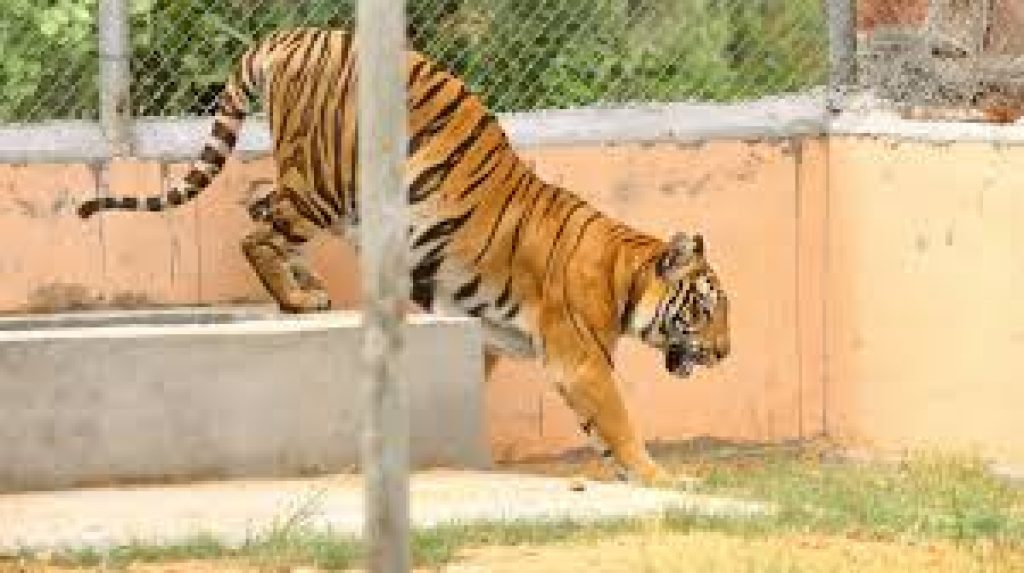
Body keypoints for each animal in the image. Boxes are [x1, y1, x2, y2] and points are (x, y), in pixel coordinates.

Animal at [77, 27, 730, 486]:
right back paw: (297, 299)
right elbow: (619, 424)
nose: (725, 353)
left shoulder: (487, 334)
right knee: (257, 234)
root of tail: (291, 36)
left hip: (320, 192)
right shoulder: (582, 360)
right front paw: (663, 480)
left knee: (257, 205)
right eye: (705, 309)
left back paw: (308, 289)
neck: (624, 274)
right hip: (322, 187)